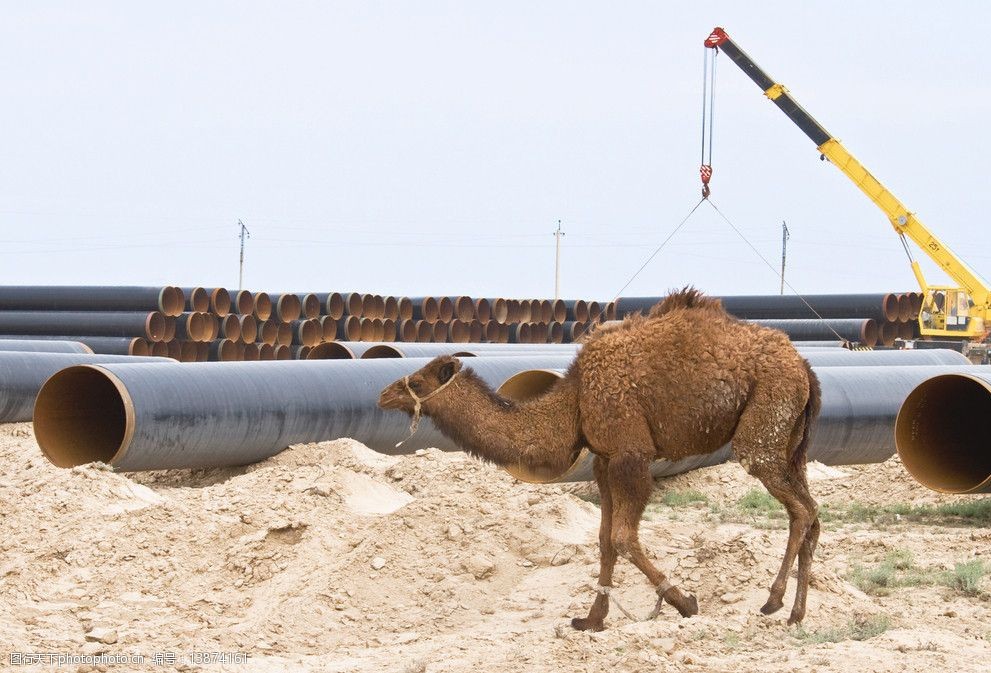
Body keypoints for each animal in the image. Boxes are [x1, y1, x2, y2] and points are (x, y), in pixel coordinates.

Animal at [378, 288, 820, 632]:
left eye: (416, 381)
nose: (383, 394)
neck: (574, 400)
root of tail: (805, 366)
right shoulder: (604, 459)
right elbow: (605, 540)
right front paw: (591, 619)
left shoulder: (630, 453)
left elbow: (623, 537)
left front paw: (685, 603)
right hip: (791, 440)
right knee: (812, 510)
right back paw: (797, 615)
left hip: (766, 418)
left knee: (798, 507)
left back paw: (773, 601)